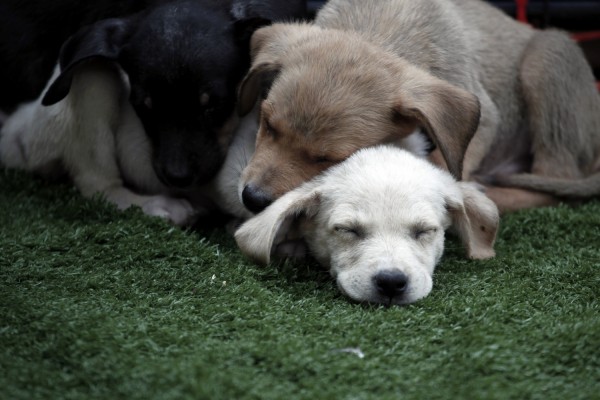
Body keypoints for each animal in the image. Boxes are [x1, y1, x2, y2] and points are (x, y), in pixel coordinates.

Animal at [237, 0, 600, 214]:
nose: (252, 199)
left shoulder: (483, 117)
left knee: (554, 179)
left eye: (328, 160)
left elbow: (447, 164)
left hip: (547, 55)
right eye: (267, 123)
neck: (379, 26)